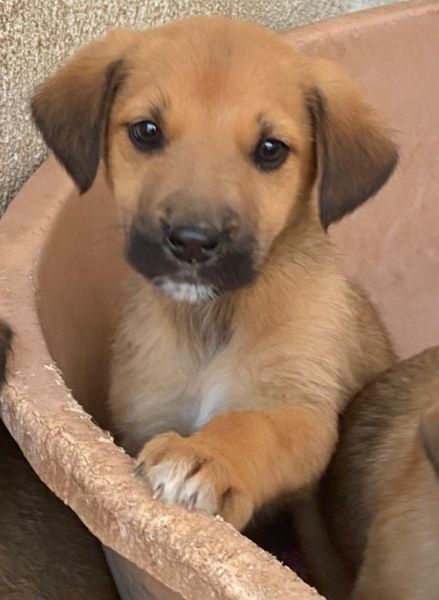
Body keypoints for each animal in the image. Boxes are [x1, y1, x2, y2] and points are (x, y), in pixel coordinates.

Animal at [31, 16, 397, 532]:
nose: (192, 242)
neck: (211, 318)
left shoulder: (301, 408)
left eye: (270, 149)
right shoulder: (145, 415)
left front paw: (205, 456)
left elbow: (253, 423)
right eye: (146, 131)